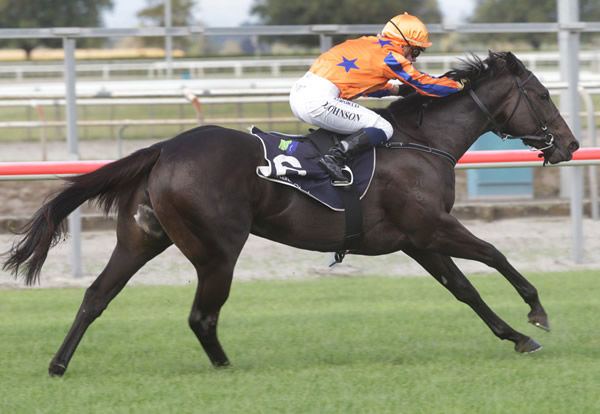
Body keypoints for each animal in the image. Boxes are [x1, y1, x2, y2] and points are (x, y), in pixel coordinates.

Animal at [2, 51, 580, 376]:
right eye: (542, 94)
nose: (571, 144)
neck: (422, 143)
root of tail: (164, 148)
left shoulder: (417, 240)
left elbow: (465, 289)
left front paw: (518, 336)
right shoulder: (432, 226)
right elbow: (496, 255)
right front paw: (537, 312)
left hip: (141, 239)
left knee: (96, 296)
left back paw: (58, 365)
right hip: (217, 251)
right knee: (201, 315)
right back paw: (226, 367)